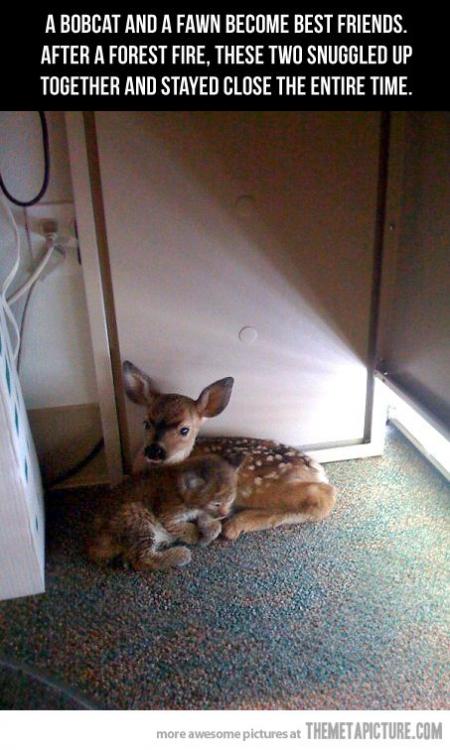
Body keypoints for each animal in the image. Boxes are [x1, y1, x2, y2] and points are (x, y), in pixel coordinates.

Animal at [122, 361, 336, 541]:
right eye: (146, 423)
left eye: (184, 429)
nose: (154, 450)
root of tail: (316, 468)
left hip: (269, 485)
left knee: (323, 497)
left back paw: (236, 525)